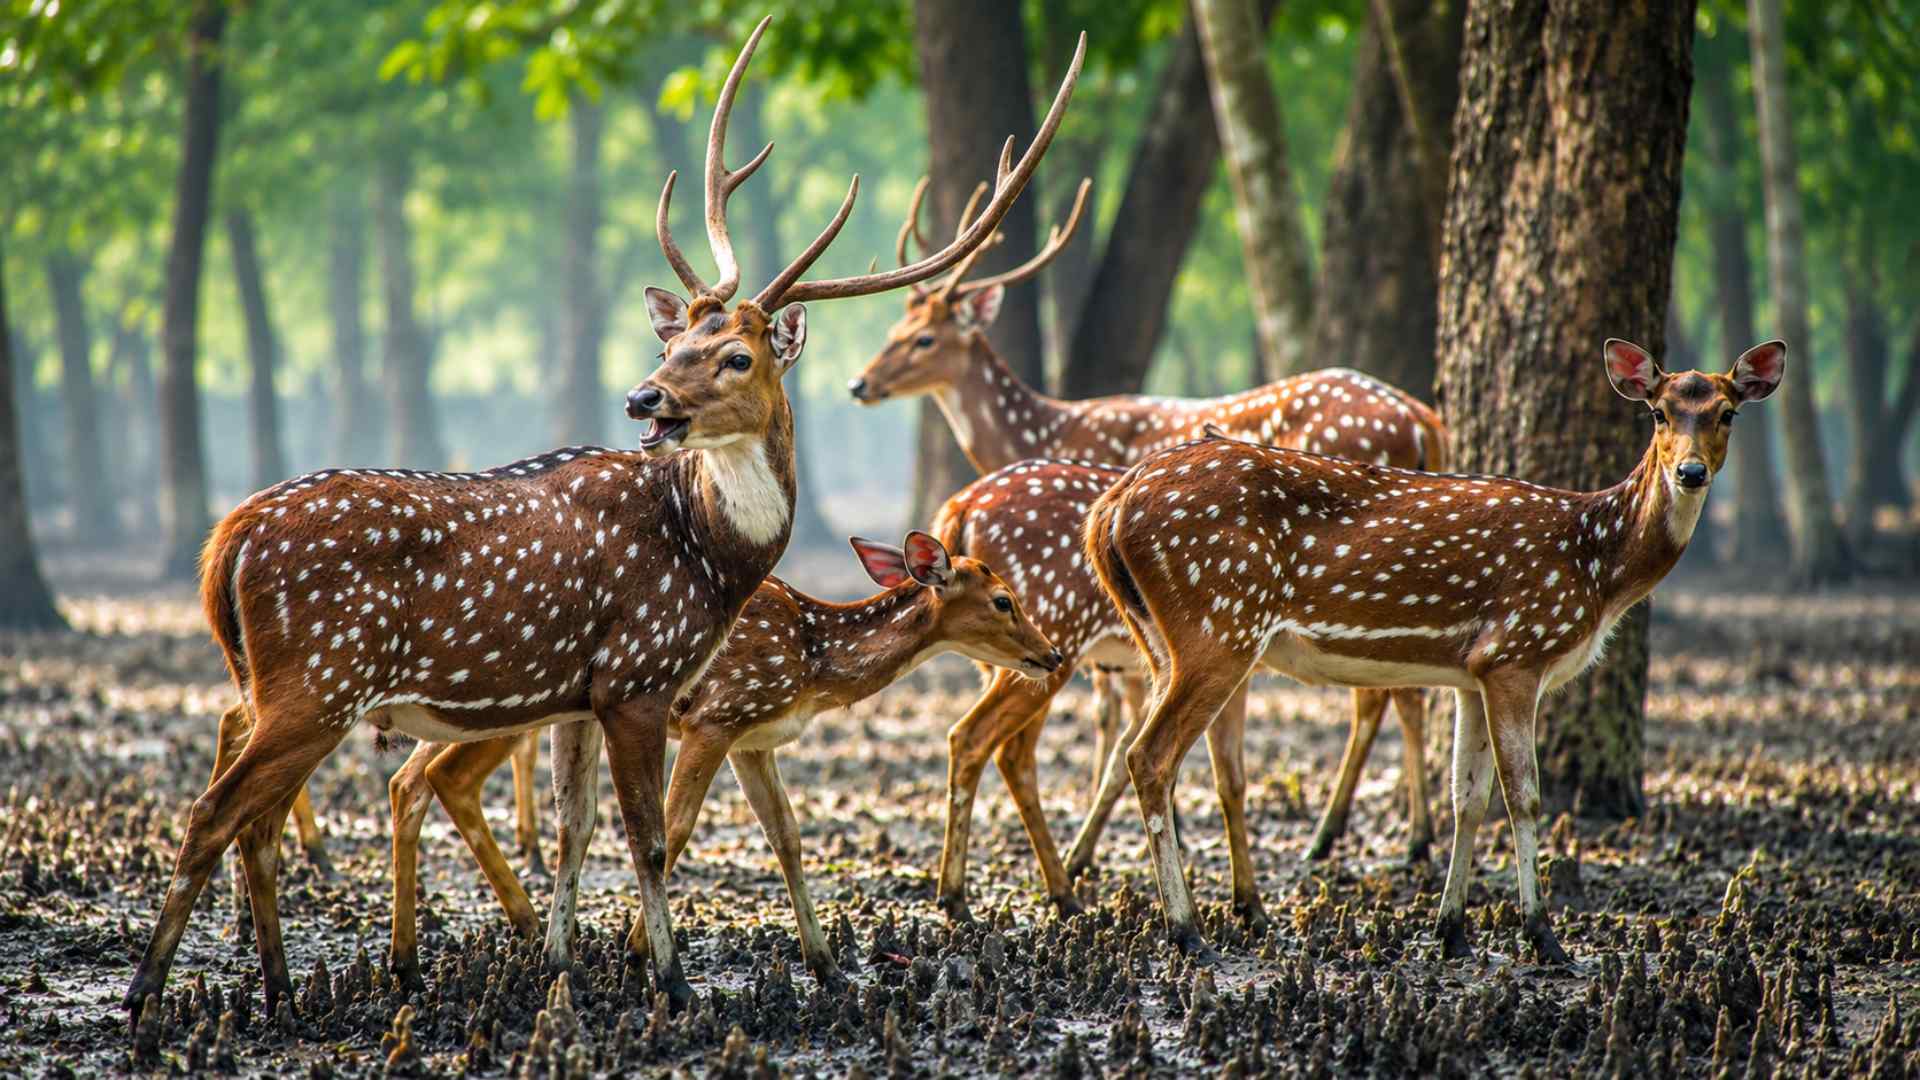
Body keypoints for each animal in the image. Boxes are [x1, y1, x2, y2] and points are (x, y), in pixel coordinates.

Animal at [124, 14, 1084, 1025]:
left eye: (736, 354)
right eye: (676, 339)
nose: (642, 397)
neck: (711, 561)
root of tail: (224, 544)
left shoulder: (584, 694)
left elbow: (583, 828)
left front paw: (564, 967)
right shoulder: (642, 677)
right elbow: (652, 834)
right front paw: (669, 978)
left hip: (286, 685)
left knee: (254, 813)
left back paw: (278, 987)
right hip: (318, 677)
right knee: (216, 810)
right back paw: (153, 997)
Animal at [1082, 338, 1786, 964]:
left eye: (1727, 412)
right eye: (1659, 411)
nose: (1690, 472)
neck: (1597, 566)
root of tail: (1109, 509)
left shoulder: (1473, 671)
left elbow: (1467, 797)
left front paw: (1451, 932)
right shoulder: (1518, 651)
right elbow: (1524, 796)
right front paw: (1544, 937)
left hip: (1163, 638)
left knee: (1150, 753)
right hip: (1218, 623)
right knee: (1149, 756)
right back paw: (1187, 933)